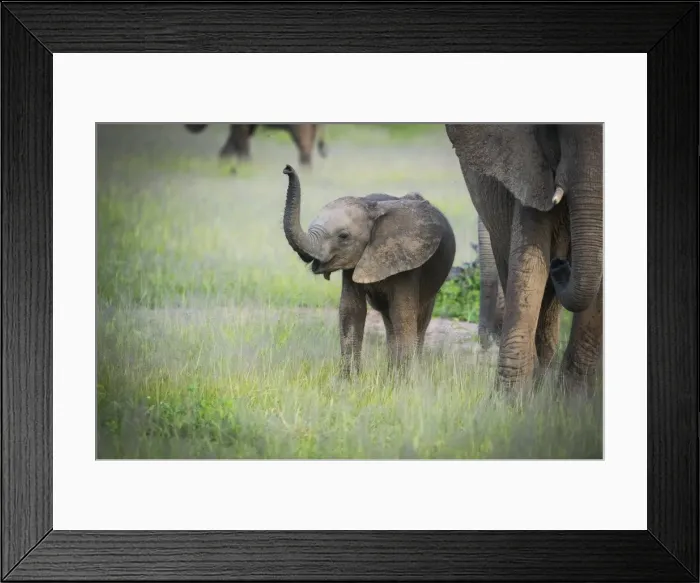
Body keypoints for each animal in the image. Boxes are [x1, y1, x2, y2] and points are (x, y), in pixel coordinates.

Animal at [281, 164, 456, 376]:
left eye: (343, 236)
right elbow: (351, 310)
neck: (371, 208)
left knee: (420, 319)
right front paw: (349, 380)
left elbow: (403, 313)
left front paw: (403, 381)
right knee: (389, 320)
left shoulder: (408, 262)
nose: (287, 169)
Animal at [445, 124, 603, 391]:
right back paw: (541, 380)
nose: (560, 265)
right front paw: (508, 399)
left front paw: (574, 398)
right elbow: (529, 261)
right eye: (557, 131)